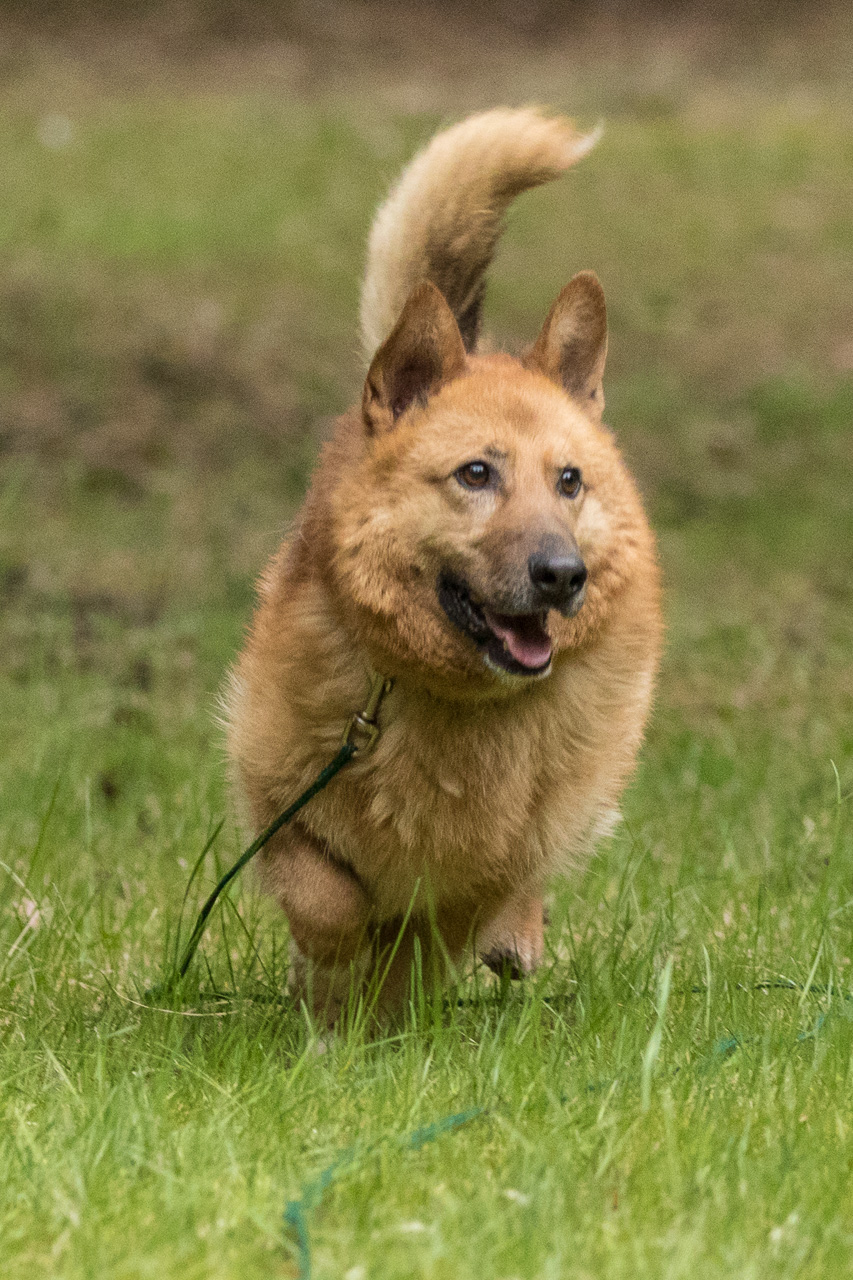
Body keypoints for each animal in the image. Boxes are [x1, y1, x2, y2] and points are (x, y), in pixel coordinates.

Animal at [226, 108, 662, 1022]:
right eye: (475, 474)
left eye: (569, 480)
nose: (561, 574)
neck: (455, 699)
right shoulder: (277, 794)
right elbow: (326, 899)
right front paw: (326, 990)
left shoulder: (483, 870)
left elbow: (425, 944)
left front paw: (383, 1021)